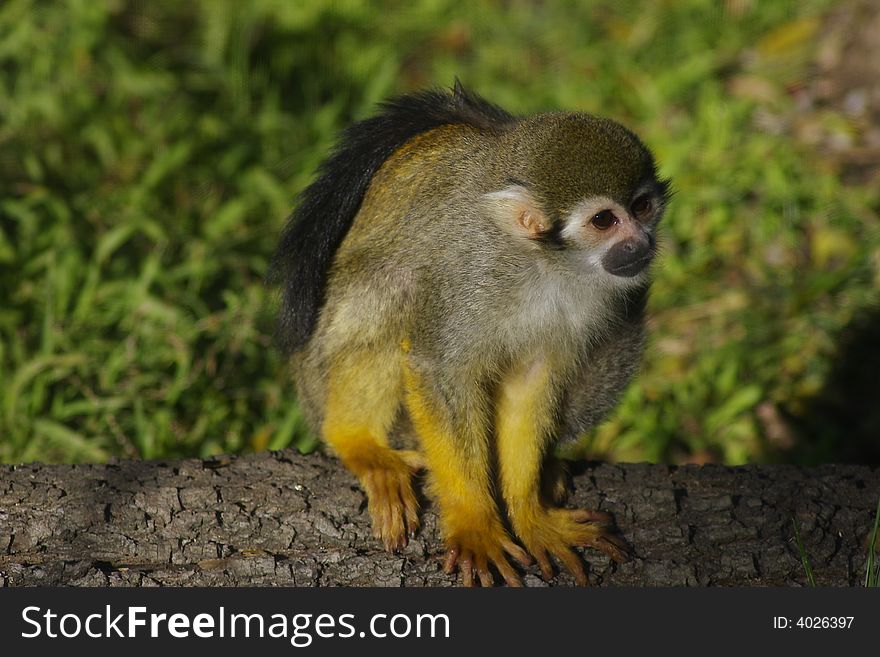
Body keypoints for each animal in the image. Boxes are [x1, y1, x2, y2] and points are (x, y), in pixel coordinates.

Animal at [272, 80, 672, 584]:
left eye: (642, 207)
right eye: (604, 220)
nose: (641, 243)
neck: (543, 266)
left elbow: (531, 380)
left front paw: (530, 513)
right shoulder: (471, 273)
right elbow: (438, 368)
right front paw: (474, 521)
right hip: (320, 372)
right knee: (401, 284)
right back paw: (356, 439)